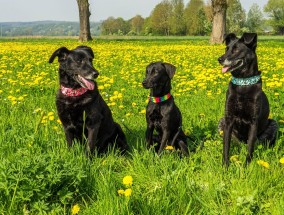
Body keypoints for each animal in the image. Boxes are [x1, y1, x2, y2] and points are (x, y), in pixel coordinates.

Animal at [217, 32, 278, 165]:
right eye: (226, 48)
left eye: (236, 50)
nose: (219, 59)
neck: (243, 83)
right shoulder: (228, 119)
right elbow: (226, 146)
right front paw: (225, 165)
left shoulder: (253, 121)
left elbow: (250, 147)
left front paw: (247, 165)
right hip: (221, 122)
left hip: (273, 124)